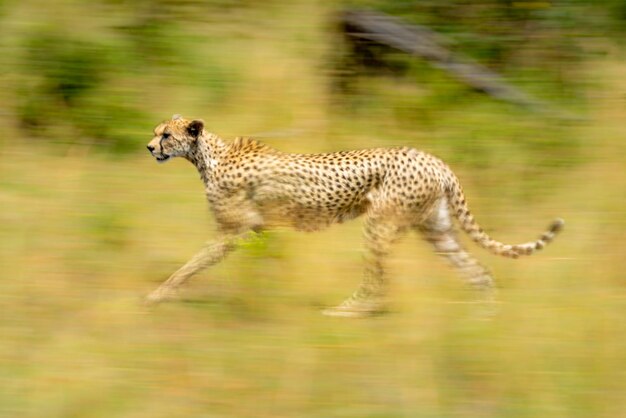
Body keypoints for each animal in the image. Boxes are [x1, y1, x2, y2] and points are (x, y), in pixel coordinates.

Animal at [145, 114, 560, 316]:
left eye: (166, 135)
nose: (149, 147)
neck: (207, 156)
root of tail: (435, 159)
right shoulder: (257, 230)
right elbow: (262, 263)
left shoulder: (233, 231)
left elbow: (190, 265)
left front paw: (157, 295)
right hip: (435, 229)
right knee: (478, 272)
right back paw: (484, 319)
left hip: (380, 224)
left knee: (379, 285)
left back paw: (348, 311)